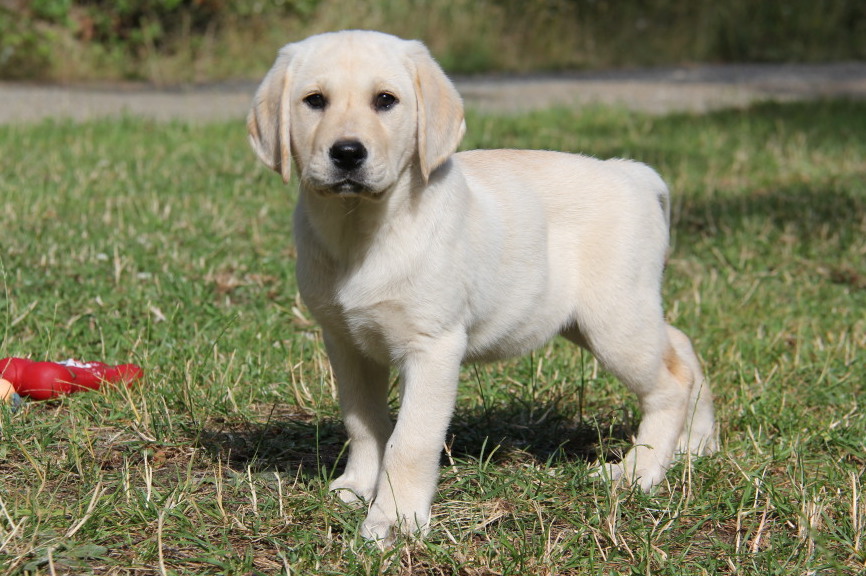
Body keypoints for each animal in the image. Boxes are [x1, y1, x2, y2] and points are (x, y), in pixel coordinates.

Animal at [245, 30, 716, 544]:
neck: (362, 230)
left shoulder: (432, 348)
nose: (347, 153)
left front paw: (393, 521)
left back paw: (638, 472)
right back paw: (695, 445)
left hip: (615, 319)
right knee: (682, 347)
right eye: (314, 101)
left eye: (385, 100)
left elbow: (410, 441)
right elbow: (363, 421)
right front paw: (356, 487)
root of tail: (633, 172)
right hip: (602, 317)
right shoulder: (347, 343)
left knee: (671, 381)